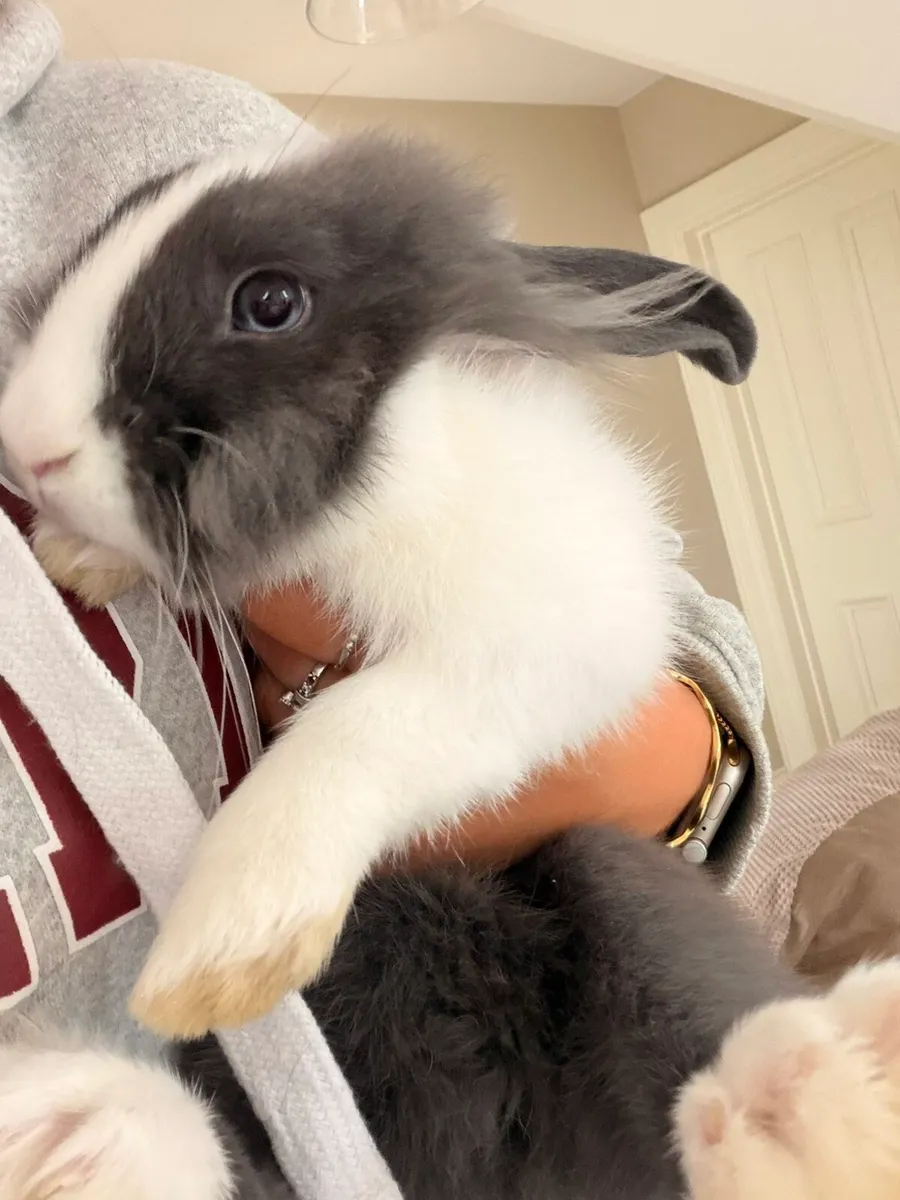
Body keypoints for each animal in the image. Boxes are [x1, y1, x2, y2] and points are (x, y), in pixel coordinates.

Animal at [0, 132, 761, 1039]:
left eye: (270, 302)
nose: (26, 445)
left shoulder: (535, 656)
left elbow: (350, 736)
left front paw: (212, 967)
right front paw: (75, 554)